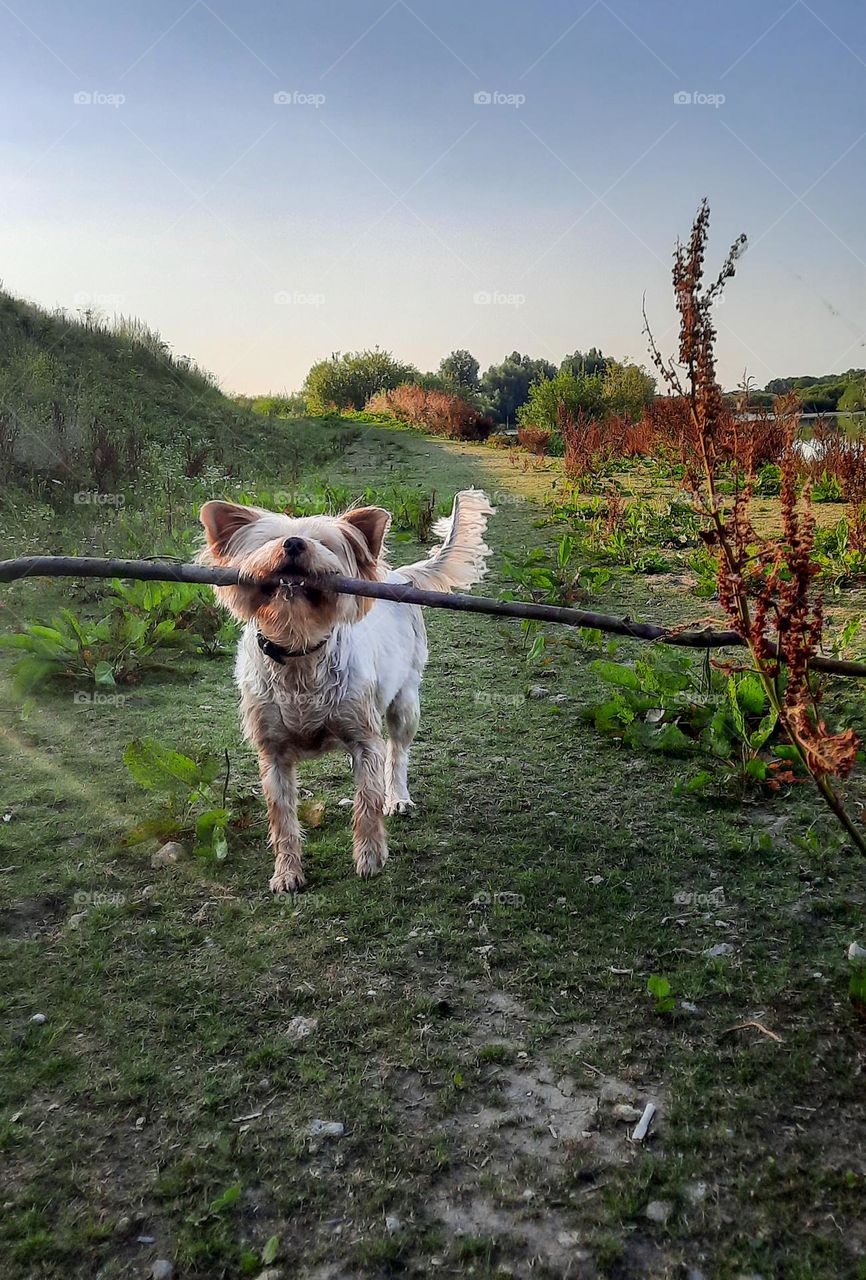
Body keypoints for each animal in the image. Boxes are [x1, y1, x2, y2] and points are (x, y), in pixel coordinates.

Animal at [196, 488, 493, 890]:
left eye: (324, 543)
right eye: (269, 540)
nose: (293, 543)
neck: (300, 652)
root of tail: (397, 576)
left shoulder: (364, 739)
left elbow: (368, 802)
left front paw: (370, 858)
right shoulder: (272, 754)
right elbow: (282, 816)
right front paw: (287, 871)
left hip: (406, 702)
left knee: (397, 753)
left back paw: (398, 797)